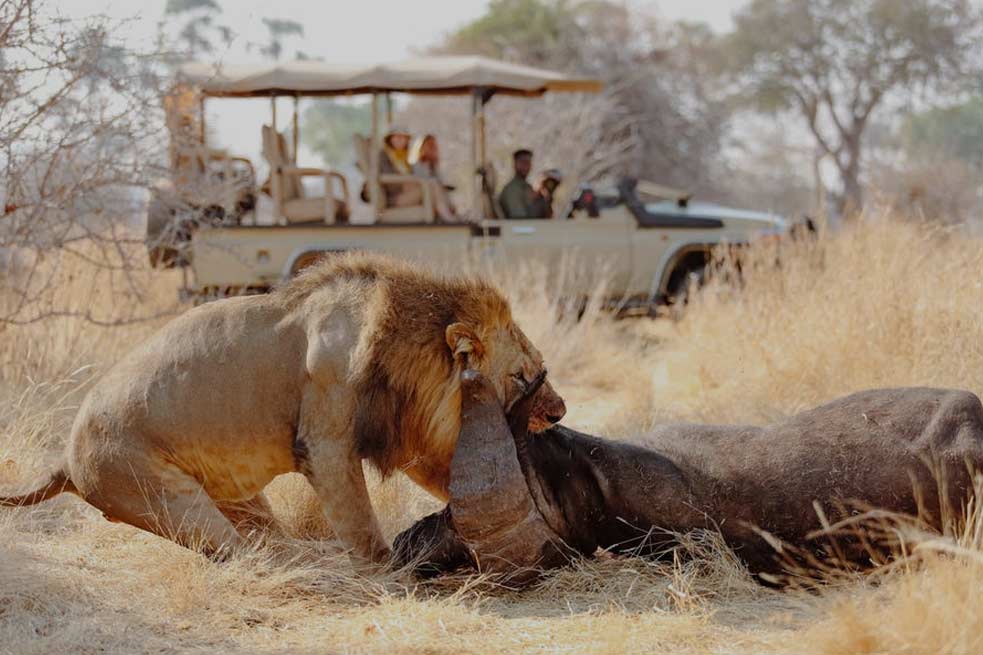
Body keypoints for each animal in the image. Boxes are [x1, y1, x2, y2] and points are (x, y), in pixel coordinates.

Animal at [0, 254, 564, 560]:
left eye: (540, 366)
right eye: (522, 375)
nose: (559, 411)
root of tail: (64, 458)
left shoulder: (414, 437)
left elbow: (454, 483)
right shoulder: (326, 442)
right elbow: (361, 524)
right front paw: (392, 575)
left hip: (238, 499)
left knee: (267, 537)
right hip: (165, 499)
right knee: (236, 553)